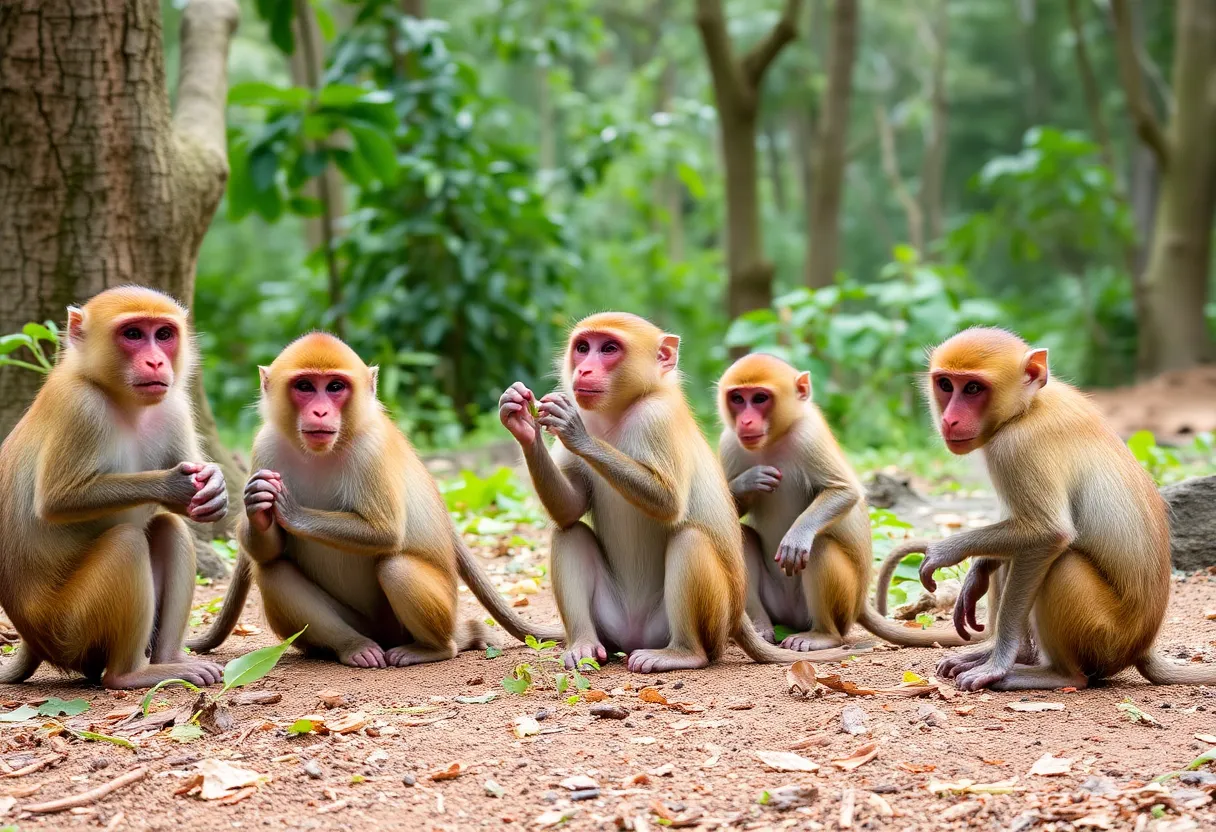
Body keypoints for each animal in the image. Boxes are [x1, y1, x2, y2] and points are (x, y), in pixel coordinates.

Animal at [0, 285, 228, 690]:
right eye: (133, 334)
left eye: (163, 334)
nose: (156, 362)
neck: (122, 399)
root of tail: (32, 639)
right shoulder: (80, 407)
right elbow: (58, 501)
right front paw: (173, 485)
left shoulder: (174, 404)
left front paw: (214, 486)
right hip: (70, 628)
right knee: (126, 543)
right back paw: (128, 674)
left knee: (168, 529)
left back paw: (169, 659)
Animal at [188, 335, 559, 666]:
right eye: (305, 386)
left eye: (335, 387)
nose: (320, 412)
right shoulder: (265, 447)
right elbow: (270, 552)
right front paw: (257, 503)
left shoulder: (372, 448)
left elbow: (385, 532)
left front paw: (288, 510)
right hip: (364, 626)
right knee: (273, 571)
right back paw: (352, 647)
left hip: (432, 614)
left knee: (396, 569)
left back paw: (435, 648)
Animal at [496, 308, 865, 671]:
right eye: (583, 348)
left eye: (609, 349)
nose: (584, 369)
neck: (621, 410)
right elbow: (571, 508)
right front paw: (522, 421)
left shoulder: (657, 418)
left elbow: (669, 503)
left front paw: (575, 432)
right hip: (611, 623)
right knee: (569, 532)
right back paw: (585, 645)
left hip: (711, 620)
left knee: (690, 540)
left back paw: (684, 653)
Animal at [715, 355, 982, 651]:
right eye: (738, 398)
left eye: (760, 398)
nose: (746, 421)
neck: (775, 438)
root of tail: (859, 605)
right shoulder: (729, 443)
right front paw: (748, 481)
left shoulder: (809, 437)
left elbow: (844, 491)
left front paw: (797, 536)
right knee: (742, 538)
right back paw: (762, 627)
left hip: (842, 604)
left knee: (819, 546)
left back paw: (822, 635)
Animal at [914, 328, 1216, 690]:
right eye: (946, 384)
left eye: (973, 388)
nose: (949, 419)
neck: (1028, 406)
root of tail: (1141, 646)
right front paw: (978, 569)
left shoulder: (1017, 446)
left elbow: (1049, 533)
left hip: (1105, 635)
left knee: (1062, 563)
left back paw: (1051, 672)